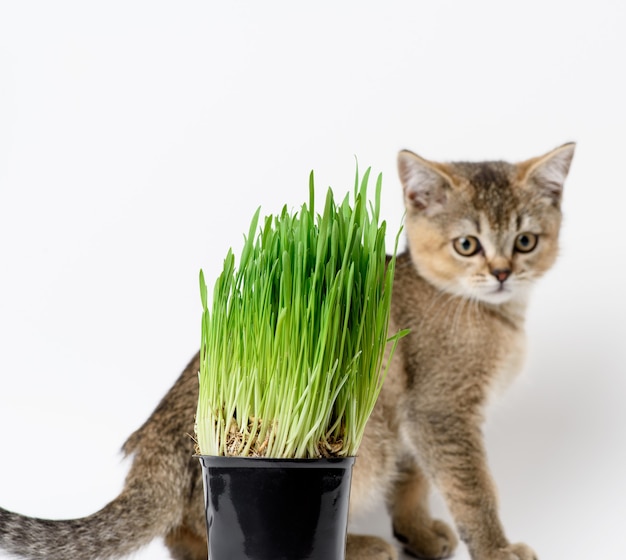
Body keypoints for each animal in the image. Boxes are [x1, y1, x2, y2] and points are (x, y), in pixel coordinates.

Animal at [0, 144, 572, 560]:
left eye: (525, 241)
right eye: (466, 245)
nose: (502, 272)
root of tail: (154, 446)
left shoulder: (413, 419)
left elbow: (411, 485)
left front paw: (420, 534)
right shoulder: (441, 411)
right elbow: (473, 492)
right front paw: (497, 550)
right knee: (194, 534)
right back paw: (361, 547)